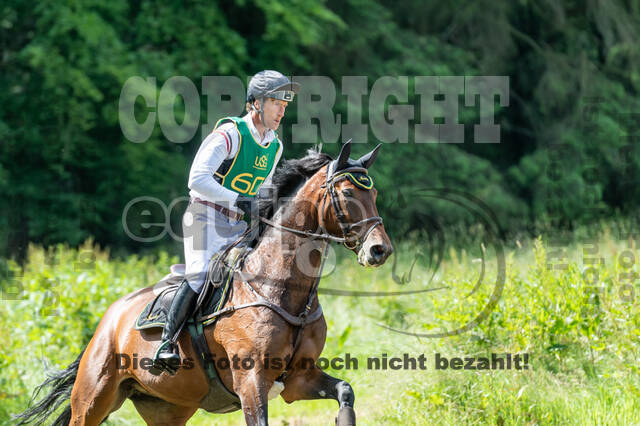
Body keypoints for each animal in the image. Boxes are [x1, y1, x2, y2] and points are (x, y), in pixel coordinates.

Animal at [16, 141, 393, 426]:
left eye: (374, 193)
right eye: (346, 193)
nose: (380, 250)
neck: (282, 291)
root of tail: (110, 317)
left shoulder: (298, 379)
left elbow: (345, 391)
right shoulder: (251, 383)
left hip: (168, 408)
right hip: (94, 398)